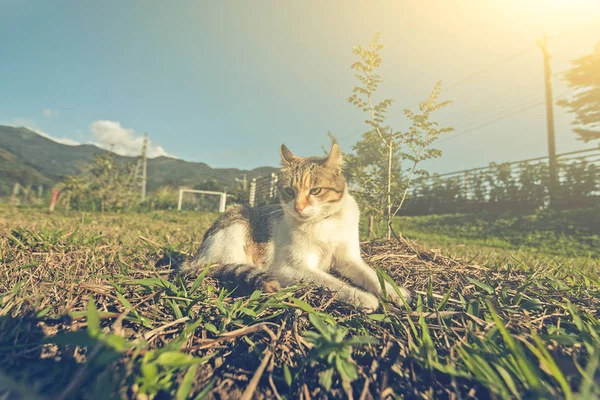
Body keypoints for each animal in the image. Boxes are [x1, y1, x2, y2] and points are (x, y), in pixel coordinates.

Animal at [179, 143, 412, 312]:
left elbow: (370, 275)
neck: (325, 223)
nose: (298, 207)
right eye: (289, 192)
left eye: (316, 190)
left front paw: (394, 292)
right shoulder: (292, 269)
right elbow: (334, 283)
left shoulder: (349, 259)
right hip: (237, 223)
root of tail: (194, 259)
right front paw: (363, 297)